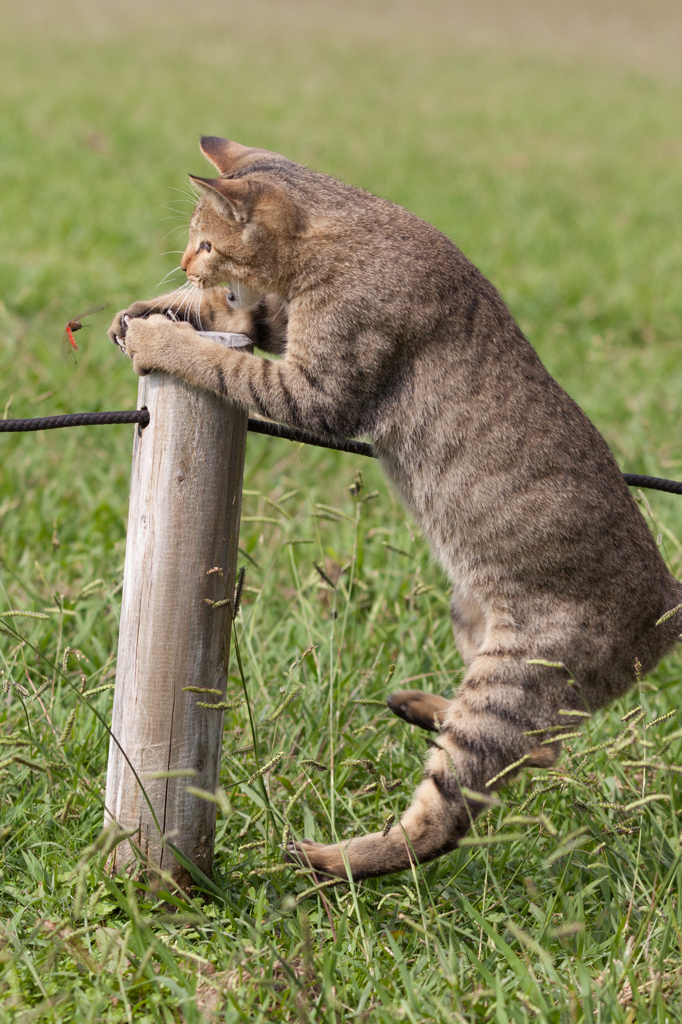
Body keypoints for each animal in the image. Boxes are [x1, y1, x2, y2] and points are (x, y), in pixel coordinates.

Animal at [107, 136, 679, 884]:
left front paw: (160, 335)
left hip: (509, 683)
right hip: (472, 620)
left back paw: (329, 858)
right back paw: (419, 708)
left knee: (446, 817)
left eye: (204, 241)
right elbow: (241, 319)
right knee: (543, 751)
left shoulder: (318, 389)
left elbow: (227, 363)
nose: (181, 260)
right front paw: (154, 307)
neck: (344, 235)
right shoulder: (290, 334)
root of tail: (669, 610)